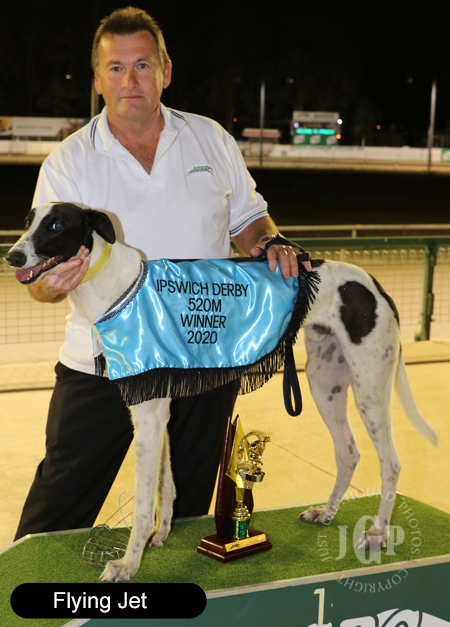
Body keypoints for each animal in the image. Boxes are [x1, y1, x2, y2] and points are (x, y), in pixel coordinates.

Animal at [6, 202, 438, 581]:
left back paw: (378, 533)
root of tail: (373, 284)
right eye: (27, 221)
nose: (12, 256)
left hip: (369, 387)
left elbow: (144, 499)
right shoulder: (161, 407)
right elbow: (166, 481)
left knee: (390, 462)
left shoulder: (147, 412)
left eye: (57, 225)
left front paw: (128, 564)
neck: (117, 285)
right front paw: (161, 535)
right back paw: (327, 513)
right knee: (348, 452)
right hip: (324, 381)